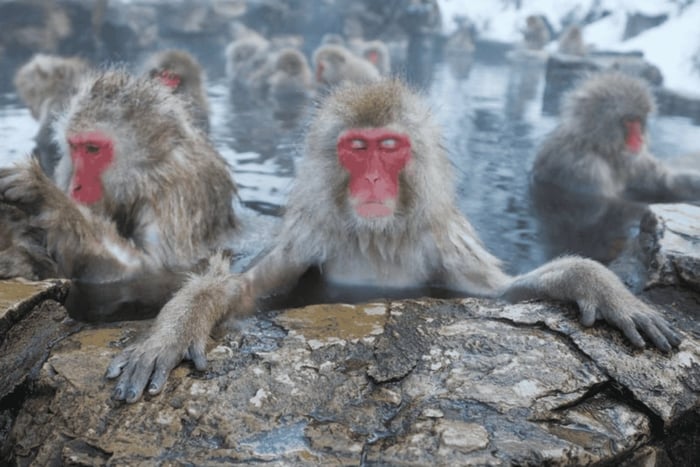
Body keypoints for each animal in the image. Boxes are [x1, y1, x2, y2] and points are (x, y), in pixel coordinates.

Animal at [0, 69, 238, 289]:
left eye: (93, 149)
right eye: (75, 147)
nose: (75, 186)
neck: (145, 174)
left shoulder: (175, 196)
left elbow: (149, 270)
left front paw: (46, 197)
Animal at [106, 78, 680, 403]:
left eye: (389, 147)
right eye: (358, 149)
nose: (375, 181)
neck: (377, 236)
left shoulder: (443, 241)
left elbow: (499, 293)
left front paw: (597, 285)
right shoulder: (311, 235)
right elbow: (242, 291)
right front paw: (174, 330)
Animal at [532, 72, 700, 202]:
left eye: (638, 120)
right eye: (628, 120)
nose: (640, 139)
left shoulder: (635, 160)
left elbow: (665, 181)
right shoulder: (585, 169)